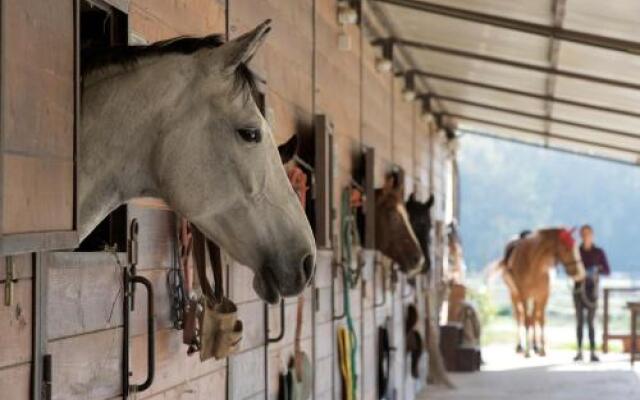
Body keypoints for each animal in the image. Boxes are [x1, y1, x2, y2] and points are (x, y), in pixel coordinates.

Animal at [500, 228, 584, 356]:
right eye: (566, 248)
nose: (579, 273)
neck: (535, 264)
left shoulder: (544, 295)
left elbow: (541, 320)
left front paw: (541, 348)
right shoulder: (524, 295)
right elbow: (526, 320)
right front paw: (527, 351)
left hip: (536, 297)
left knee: (535, 317)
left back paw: (535, 346)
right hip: (514, 295)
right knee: (520, 317)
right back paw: (520, 346)